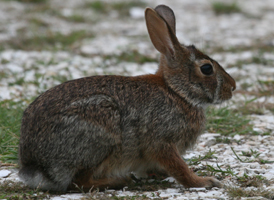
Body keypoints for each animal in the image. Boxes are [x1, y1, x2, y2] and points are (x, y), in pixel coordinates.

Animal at [18, 4, 235, 192]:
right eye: (206, 69)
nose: (232, 87)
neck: (176, 91)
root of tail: (36, 167)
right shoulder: (161, 141)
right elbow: (179, 168)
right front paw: (204, 181)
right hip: (100, 135)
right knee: (79, 181)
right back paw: (117, 180)